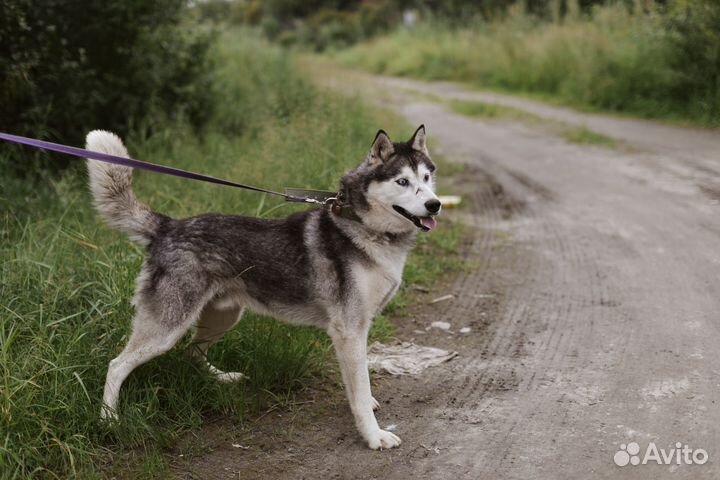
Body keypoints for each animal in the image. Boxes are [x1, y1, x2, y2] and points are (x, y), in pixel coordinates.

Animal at [88, 124, 442, 450]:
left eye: (426, 178)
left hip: (223, 316)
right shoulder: (350, 330)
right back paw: (108, 421)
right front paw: (373, 435)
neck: (364, 228)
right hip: (167, 327)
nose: (435, 204)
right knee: (117, 365)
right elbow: (360, 389)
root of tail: (169, 226)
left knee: (193, 351)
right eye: (402, 182)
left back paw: (221, 378)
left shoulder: (357, 329)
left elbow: (360, 386)